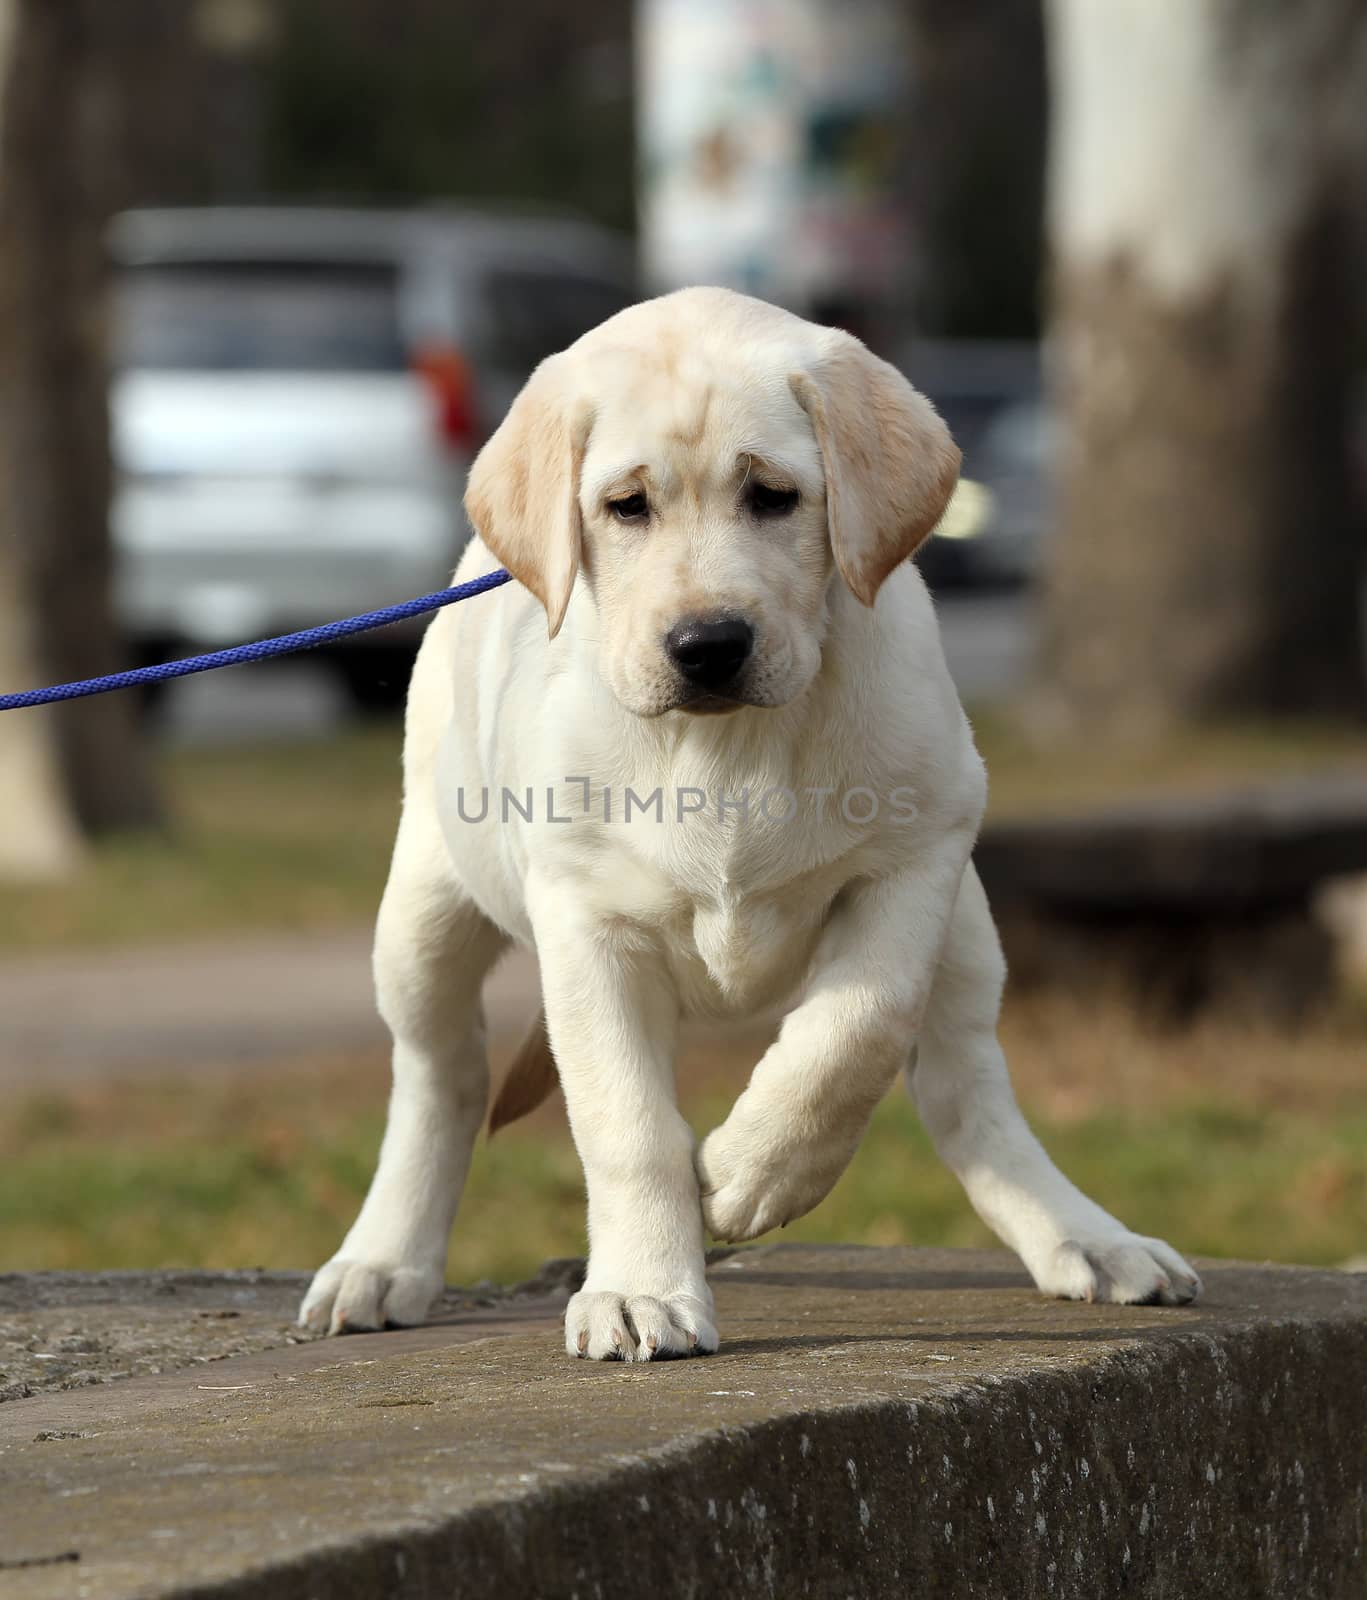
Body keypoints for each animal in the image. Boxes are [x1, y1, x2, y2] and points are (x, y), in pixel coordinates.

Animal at [299, 291, 1197, 1363]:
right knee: (439, 1077)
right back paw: (381, 1259)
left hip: (969, 934)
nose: (707, 645)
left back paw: (1086, 1238)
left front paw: (749, 1176)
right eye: (626, 506)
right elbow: (627, 1126)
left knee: (963, 1088)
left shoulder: (914, 862)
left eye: (772, 496)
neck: (723, 746)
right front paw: (641, 1288)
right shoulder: (587, 924)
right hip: (424, 913)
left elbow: (853, 1034)